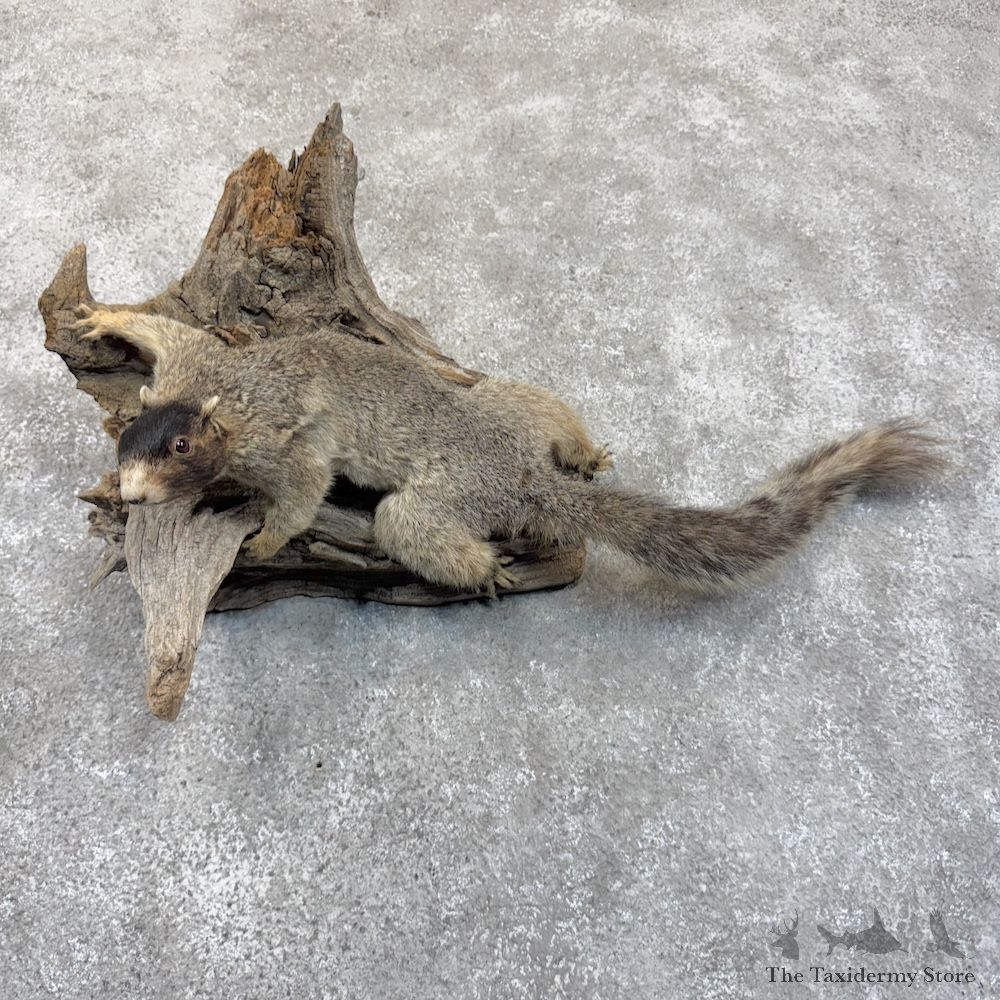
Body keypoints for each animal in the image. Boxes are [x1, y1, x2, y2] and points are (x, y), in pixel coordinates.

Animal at [72, 305, 943, 594]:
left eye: (181, 447)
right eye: (126, 445)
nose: (132, 496)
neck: (221, 399)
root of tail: (523, 473)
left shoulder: (279, 439)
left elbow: (303, 488)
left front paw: (262, 539)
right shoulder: (189, 366)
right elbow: (165, 331)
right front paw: (101, 315)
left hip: (436, 501)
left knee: (407, 525)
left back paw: (484, 568)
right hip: (510, 404)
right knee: (545, 407)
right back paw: (583, 452)